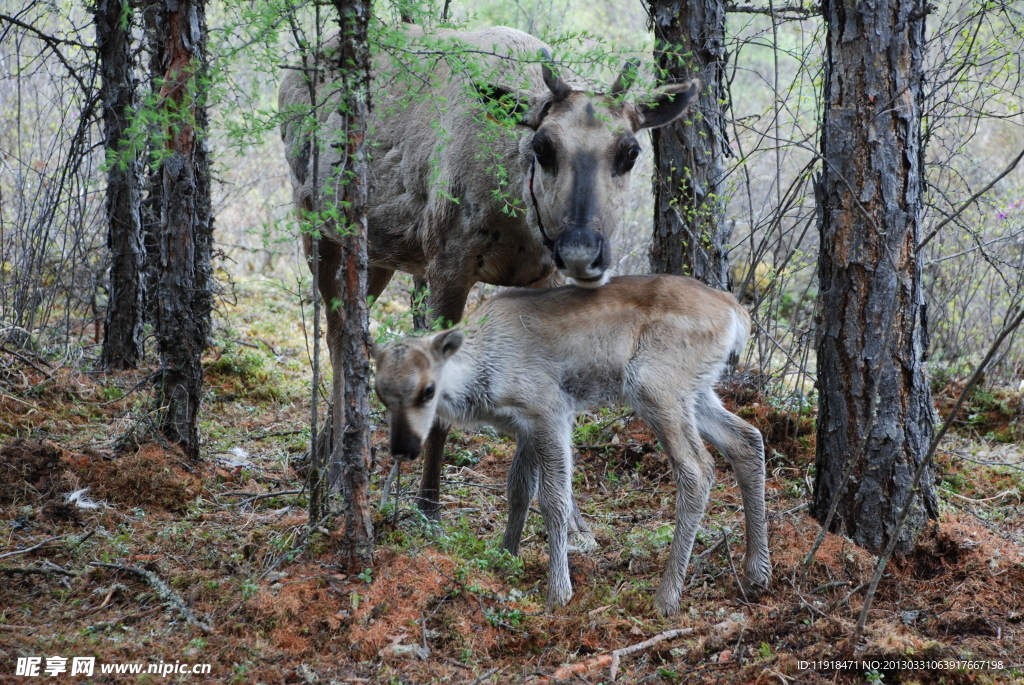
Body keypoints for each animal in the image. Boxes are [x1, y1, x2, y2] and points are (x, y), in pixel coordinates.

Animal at [374, 272, 770, 614]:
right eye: (380, 393)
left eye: (428, 390)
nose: (404, 447)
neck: (482, 375)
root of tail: (738, 315)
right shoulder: (526, 426)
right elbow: (518, 488)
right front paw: (506, 558)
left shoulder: (551, 411)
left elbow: (554, 499)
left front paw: (558, 592)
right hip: (697, 392)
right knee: (747, 440)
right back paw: (756, 572)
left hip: (656, 385)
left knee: (698, 468)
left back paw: (667, 597)